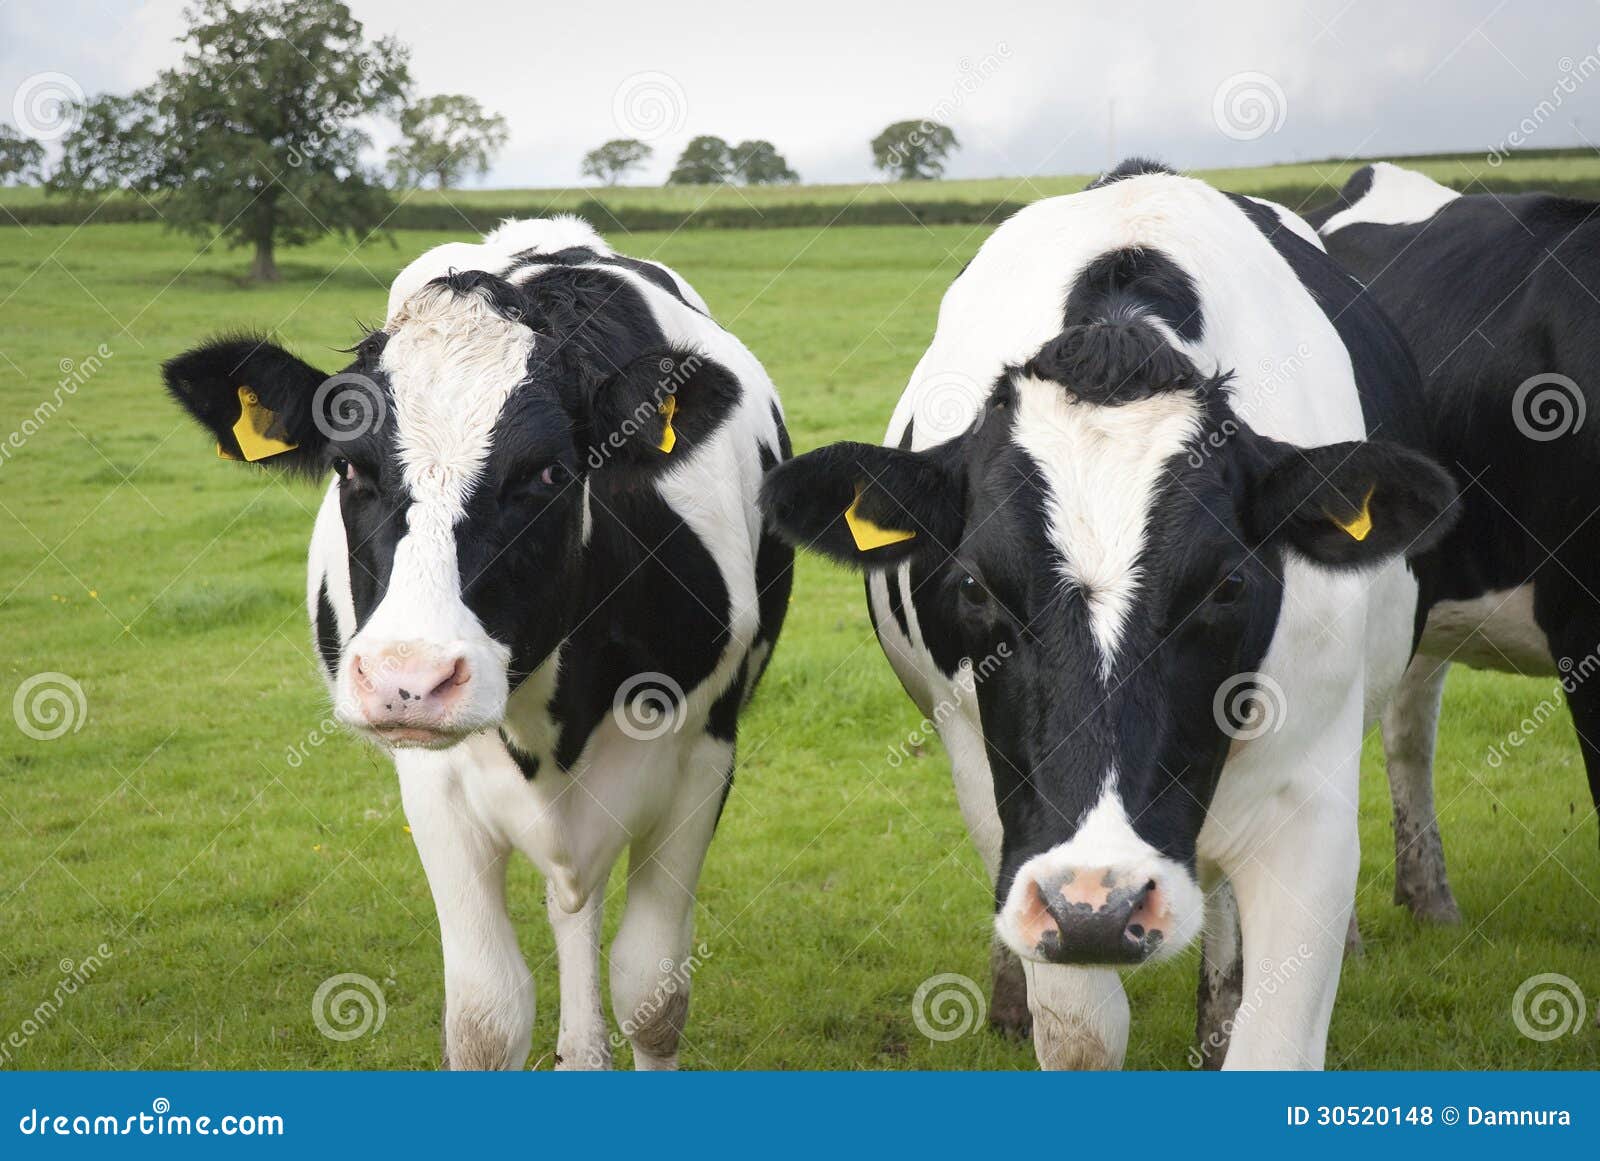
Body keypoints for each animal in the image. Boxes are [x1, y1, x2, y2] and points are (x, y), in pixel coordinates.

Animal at [161, 216, 793, 1070]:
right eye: (348, 466)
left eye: (549, 473)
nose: (410, 678)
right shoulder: (434, 781)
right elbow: (487, 1015)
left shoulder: (703, 751)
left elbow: (652, 993)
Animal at [761, 160, 1459, 1069]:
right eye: (975, 586)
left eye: (1226, 585)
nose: (1102, 903)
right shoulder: (1014, 818)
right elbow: (1082, 1032)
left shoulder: (1311, 811)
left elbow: (1274, 1045)